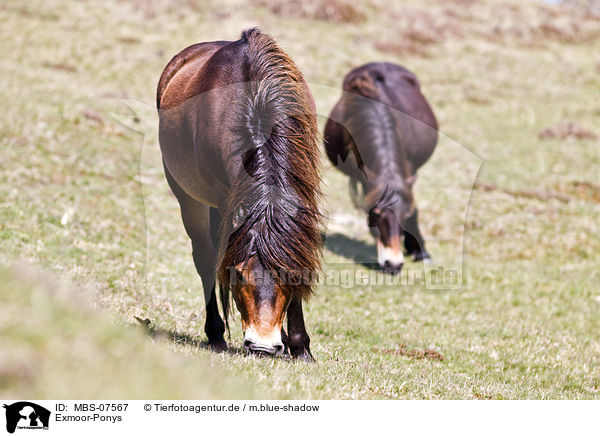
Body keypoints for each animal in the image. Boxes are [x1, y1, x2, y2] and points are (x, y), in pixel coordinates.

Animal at [157, 29, 322, 360]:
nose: (261, 345)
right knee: (204, 257)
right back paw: (215, 334)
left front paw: (299, 347)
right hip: (189, 198)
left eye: (288, 276)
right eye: (239, 275)